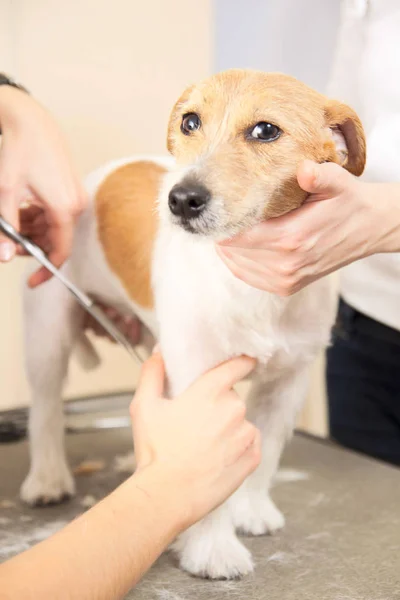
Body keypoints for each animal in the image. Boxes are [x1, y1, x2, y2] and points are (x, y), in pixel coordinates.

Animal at [21, 71, 366, 580]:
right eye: (190, 121)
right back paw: (47, 478)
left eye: (265, 130)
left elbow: (265, 454)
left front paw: (250, 510)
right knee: (45, 409)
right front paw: (212, 549)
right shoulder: (198, 381)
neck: (250, 282)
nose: (181, 199)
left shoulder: (287, 381)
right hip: (48, 329)